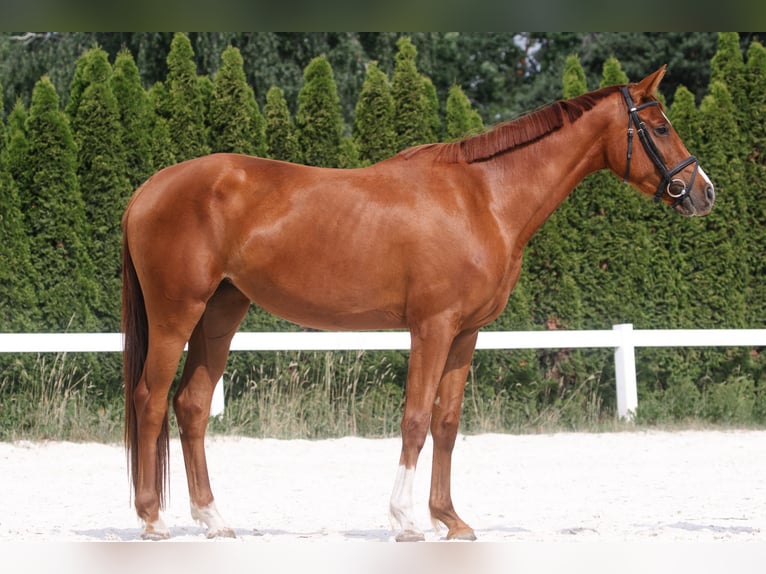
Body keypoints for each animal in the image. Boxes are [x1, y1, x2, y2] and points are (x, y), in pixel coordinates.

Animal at [122, 66, 714, 541]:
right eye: (660, 126)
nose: (703, 191)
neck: (482, 197)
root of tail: (148, 189)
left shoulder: (466, 332)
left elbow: (446, 423)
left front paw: (450, 520)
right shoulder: (432, 326)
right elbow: (414, 418)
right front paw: (405, 520)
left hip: (221, 312)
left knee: (192, 405)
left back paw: (214, 520)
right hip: (177, 314)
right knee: (150, 399)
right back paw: (152, 519)